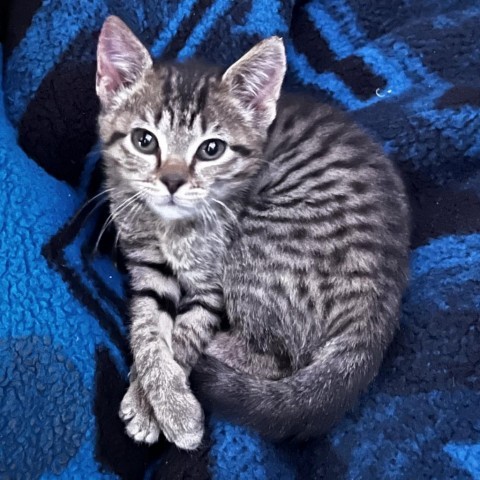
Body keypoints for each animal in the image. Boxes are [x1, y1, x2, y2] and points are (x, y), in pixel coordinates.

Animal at [96, 15, 408, 450]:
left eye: (211, 149)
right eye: (144, 141)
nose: (173, 181)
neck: (170, 226)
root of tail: (379, 309)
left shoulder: (212, 284)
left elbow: (184, 335)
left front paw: (162, 405)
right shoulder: (147, 267)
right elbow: (146, 328)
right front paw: (153, 386)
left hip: (259, 245)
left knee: (280, 358)